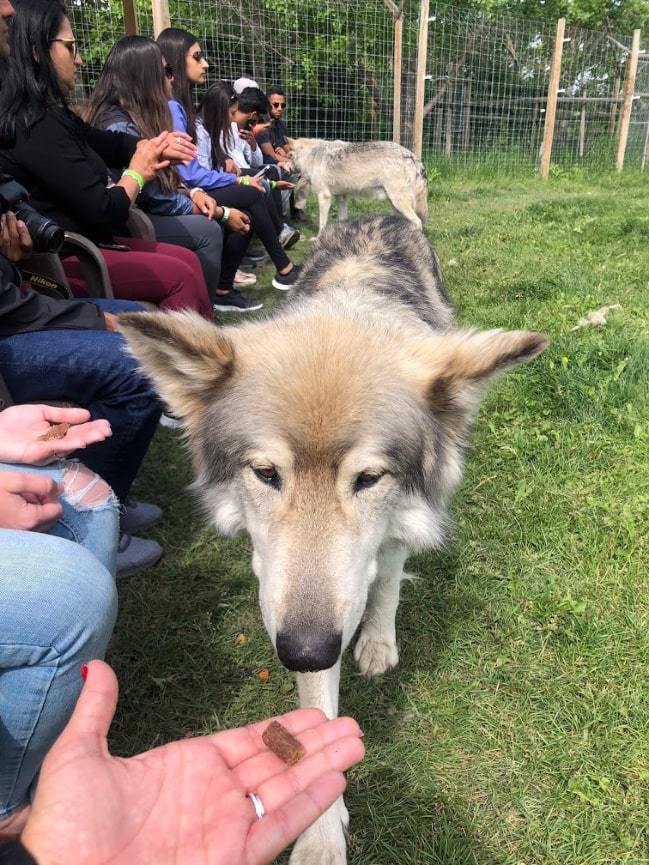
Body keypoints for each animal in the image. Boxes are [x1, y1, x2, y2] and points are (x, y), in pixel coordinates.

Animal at [117, 218, 548, 864]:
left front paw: (376, 641)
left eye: (368, 478)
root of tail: (380, 216)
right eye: (266, 473)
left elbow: (387, 579)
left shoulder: (398, 519)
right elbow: (316, 707)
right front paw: (319, 832)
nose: (304, 650)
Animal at [284, 138, 428, 233]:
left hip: (398, 202)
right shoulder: (341, 197)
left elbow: (322, 224)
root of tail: (411, 155)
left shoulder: (324, 196)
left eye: (289, 155)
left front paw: (318, 238)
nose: (287, 170)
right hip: (395, 204)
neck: (311, 155)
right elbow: (342, 219)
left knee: (418, 222)